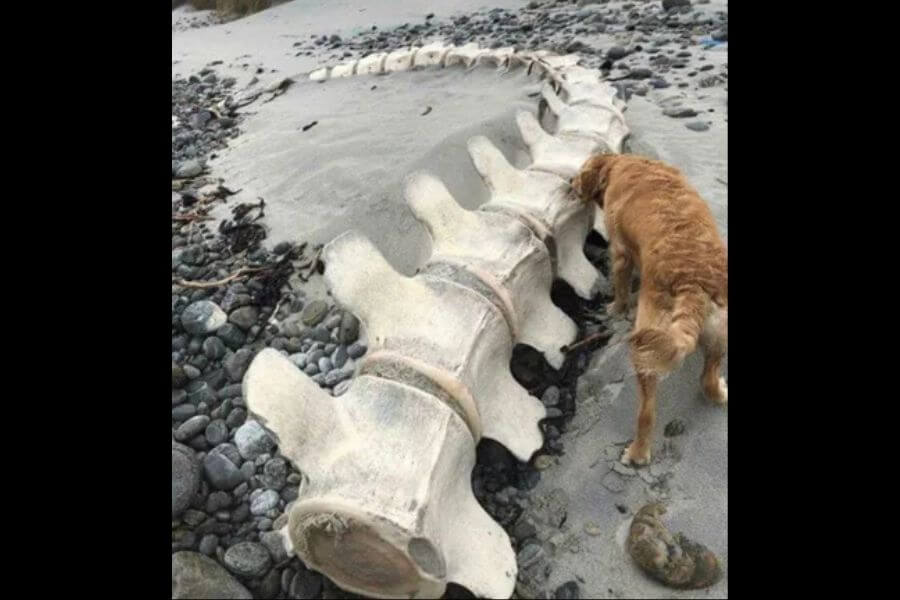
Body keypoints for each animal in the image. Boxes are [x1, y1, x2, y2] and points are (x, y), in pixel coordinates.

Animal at [572, 152, 728, 466]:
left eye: (580, 173)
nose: (569, 183)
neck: (620, 165)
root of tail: (694, 284)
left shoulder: (620, 252)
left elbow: (620, 287)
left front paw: (615, 307)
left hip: (646, 345)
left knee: (646, 413)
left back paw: (637, 452)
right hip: (720, 332)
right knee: (707, 380)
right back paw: (720, 392)